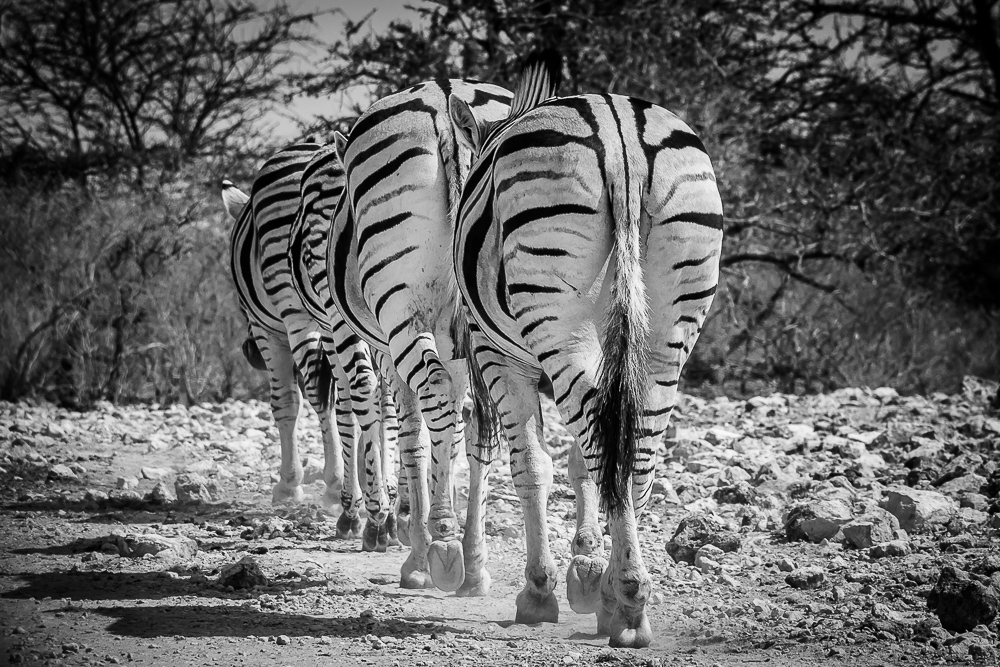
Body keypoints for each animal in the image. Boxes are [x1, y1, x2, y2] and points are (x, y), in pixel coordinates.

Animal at [223, 142, 398, 552]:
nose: (249, 354)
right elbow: (370, 404)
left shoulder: (271, 328)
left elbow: (291, 402)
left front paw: (293, 486)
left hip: (301, 312)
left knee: (327, 393)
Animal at [328, 81, 516, 592]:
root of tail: (443, 101)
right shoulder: (454, 341)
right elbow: (452, 433)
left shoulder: (390, 347)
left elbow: (410, 434)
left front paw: (415, 555)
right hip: (492, 319)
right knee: (480, 422)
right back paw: (472, 563)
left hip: (400, 312)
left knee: (435, 395)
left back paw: (445, 545)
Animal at [450, 52, 724, 648]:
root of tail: (619, 132)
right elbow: (581, 458)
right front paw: (588, 570)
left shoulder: (498, 355)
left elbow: (532, 464)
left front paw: (542, 590)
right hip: (669, 324)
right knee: (634, 444)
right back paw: (626, 597)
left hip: (557, 315)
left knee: (601, 435)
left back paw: (622, 601)